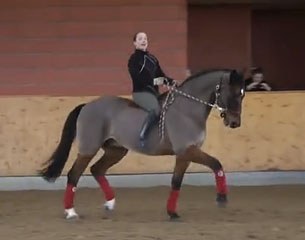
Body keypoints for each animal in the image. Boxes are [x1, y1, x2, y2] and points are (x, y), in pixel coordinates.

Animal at [39, 67, 245, 219]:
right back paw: (71, 212)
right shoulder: (188, 150)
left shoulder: (184, 155)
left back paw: (110, 203)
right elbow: (216, 164)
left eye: (242, 94)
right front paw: (221, 197)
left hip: (116, 150)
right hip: (88, 149)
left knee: (97, 169)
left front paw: (172, 212)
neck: (187, 110)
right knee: (74, 174)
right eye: (232, 93)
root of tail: (87, 106)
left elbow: (176, 182)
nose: (234, 123)